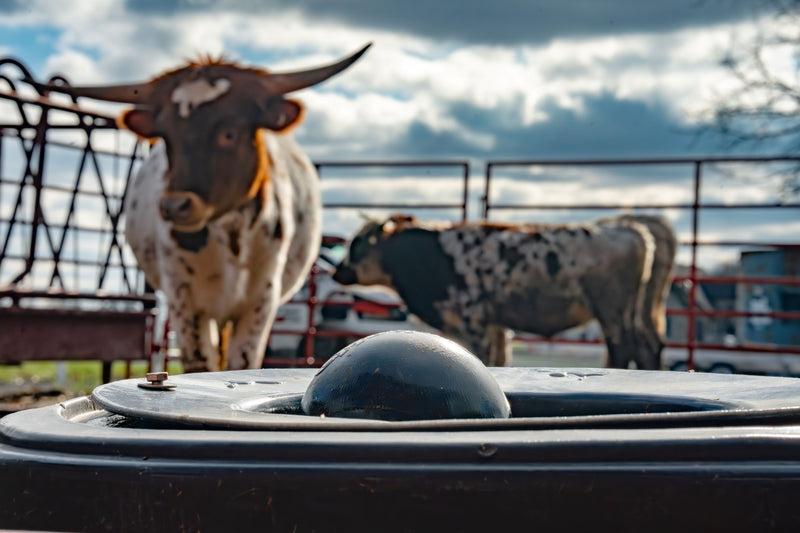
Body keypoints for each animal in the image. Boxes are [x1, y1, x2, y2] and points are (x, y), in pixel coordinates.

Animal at [37, 44, 370, 372]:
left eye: (229, 133)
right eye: (167, 137)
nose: (174, 206)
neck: (231, 235)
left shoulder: (261, 301)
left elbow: (242, 364)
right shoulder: (184, 299)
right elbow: (200, 365)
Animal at [333, 213, 676, 369]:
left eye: (357, 245)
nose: (338, 271)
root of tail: (630, 227)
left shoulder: (473, 320)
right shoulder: (495, 324)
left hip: (611, 309)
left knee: (623, 346)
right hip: (637, 310)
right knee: (647, 346)